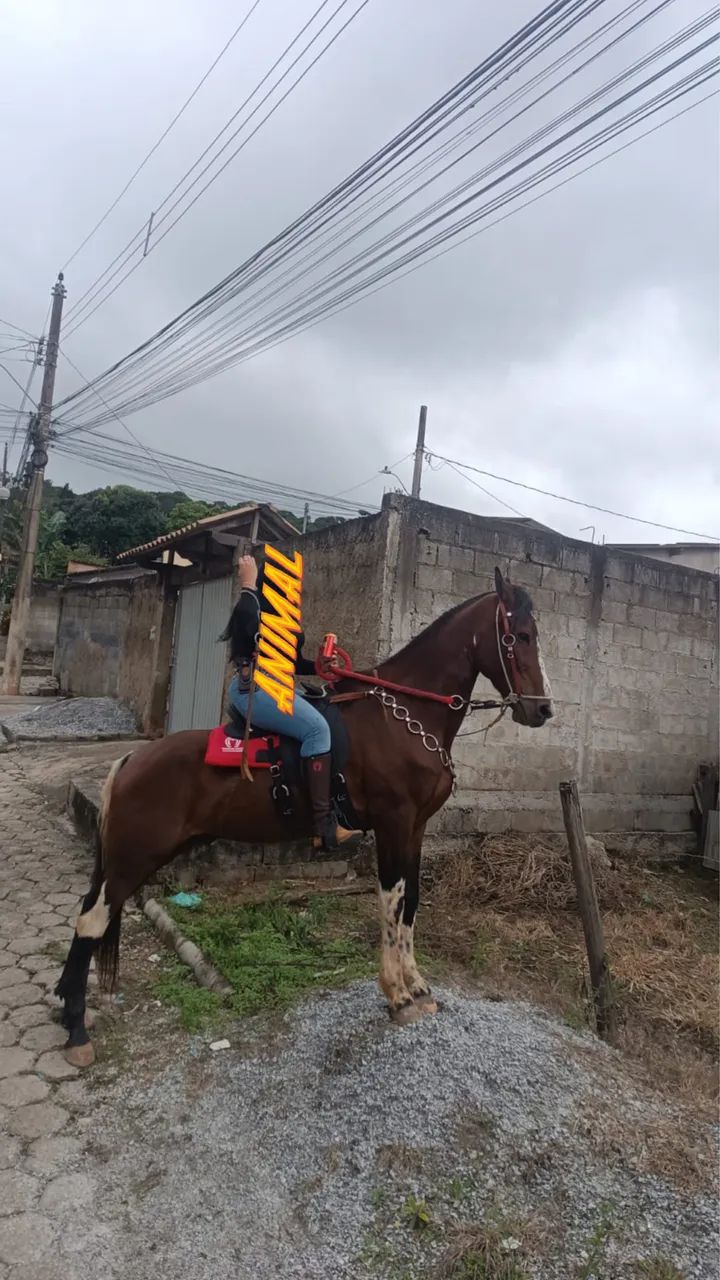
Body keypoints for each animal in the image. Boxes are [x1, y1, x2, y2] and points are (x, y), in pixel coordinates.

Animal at [56, 568, 553, 1066]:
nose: (543, 708)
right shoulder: (393, 823)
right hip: (134, 858)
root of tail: (131, 759)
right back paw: (77, 1032)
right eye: (519, 636)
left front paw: (418, 987)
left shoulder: (416, 828)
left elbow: (410, 900)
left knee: (89, 912)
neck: (405, 716)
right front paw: (398, 995)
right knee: (92, 920)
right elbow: (390, 900)